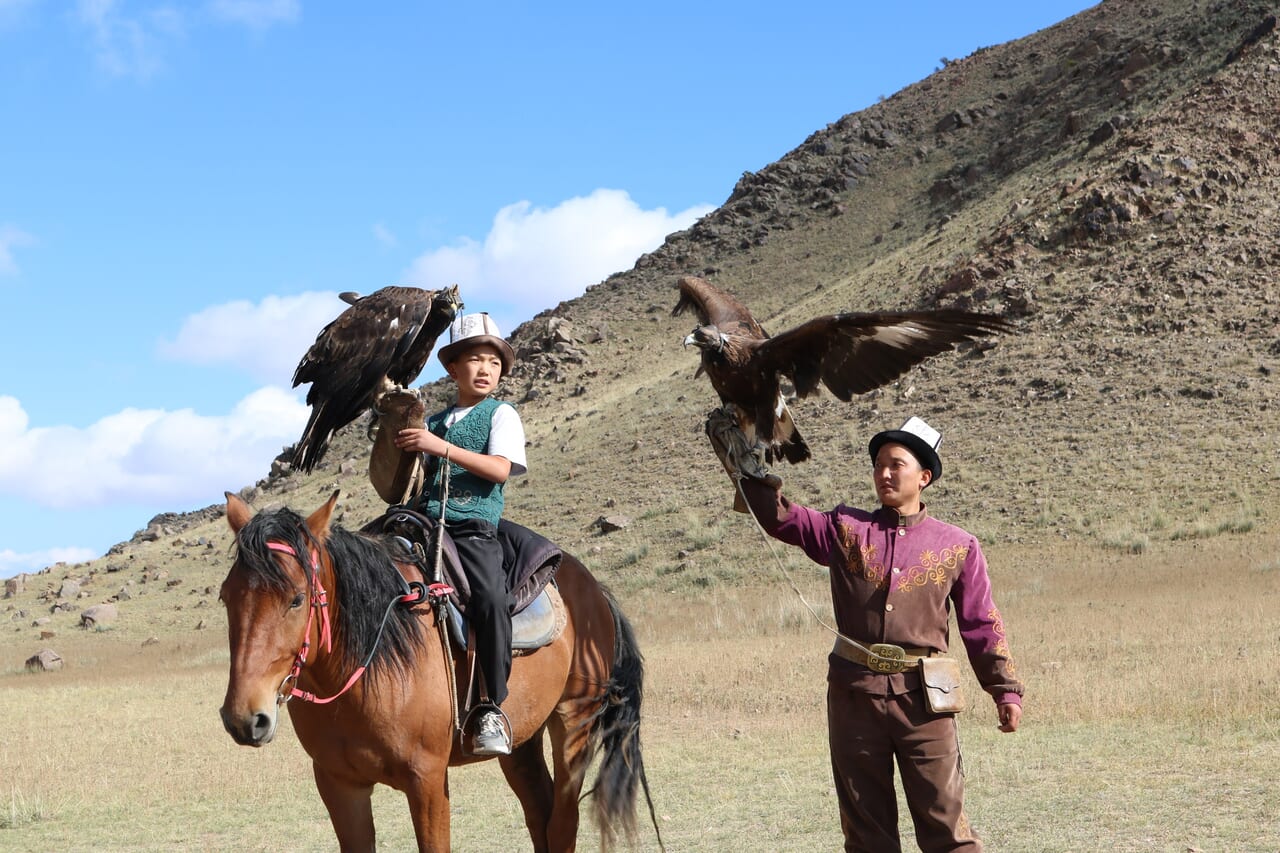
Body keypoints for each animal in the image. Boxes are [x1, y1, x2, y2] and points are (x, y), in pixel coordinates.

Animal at [218, 491, 655, 850]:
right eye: (226, 596)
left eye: (296, 599)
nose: (245, 718)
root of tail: (595, 590)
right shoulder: (339, 784)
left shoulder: (426, 780)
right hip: (522, 739)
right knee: (540, 814)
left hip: (573, 722)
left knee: (563, 823)